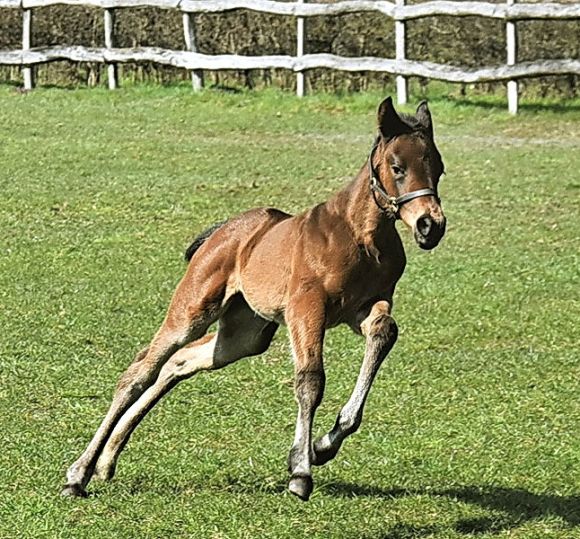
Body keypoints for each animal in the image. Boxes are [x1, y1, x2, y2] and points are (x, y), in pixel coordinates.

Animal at [61, 96, 446, 502]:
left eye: (438, 169)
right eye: (397, 167)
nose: (430, 225)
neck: (361, 237)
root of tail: (223, 231)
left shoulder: (363, 308)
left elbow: (384, 332)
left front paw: (322, 446)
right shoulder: (306, 308)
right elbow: (310, 380)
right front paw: (301, 470)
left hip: (244, 335)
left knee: (179, 362)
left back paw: (106, 462)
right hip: (192, 310)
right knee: (140, 372)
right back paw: (78, 473)